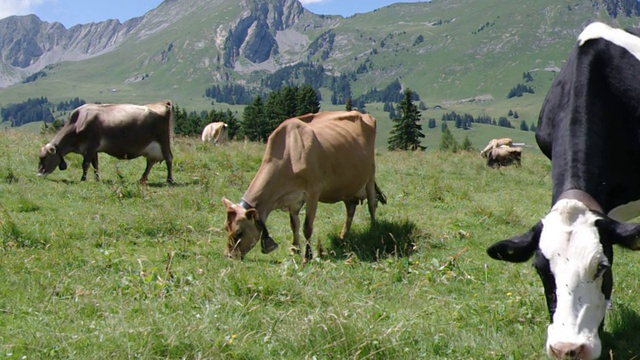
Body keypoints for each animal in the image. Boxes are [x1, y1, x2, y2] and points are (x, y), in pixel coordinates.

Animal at [38, 101, 174, 186]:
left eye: (44, 157)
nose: (38, 174)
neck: (77, 123)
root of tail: (163, 103)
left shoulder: (90, 146)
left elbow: (85, 164)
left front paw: (83, 180)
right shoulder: (93, 150)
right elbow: (95, 165)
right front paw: (97, 179)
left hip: (163, 140)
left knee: (168, 158)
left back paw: (169, 180)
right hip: (151, 147)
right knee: (150, 162)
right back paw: (142, 179)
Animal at [222, 111, 388, 260]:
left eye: (239, 233)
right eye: (225, 228)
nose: (229, 256)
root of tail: (363, 114)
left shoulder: (313, 192)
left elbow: (307, 227)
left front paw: (308, 256)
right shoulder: (292, 199)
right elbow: (294, 225)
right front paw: (295, 250)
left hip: (370, 176)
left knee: (372, 205)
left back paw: (373, 230)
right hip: (348, 186)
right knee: (350, 208)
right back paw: (343, 235)